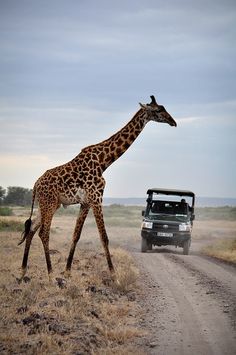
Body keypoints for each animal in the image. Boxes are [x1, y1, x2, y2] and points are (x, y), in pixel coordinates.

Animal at [18, 96, 177, 280]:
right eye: (158, 110)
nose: (173, 122)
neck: (104, 161)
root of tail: (35, 185)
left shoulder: (86, 202)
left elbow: (76, 235)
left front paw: (68, 271)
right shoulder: (96, 198)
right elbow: (104, 237)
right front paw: (114, 274)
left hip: (47, 204)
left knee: (31, 229)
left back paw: (23, 271)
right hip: (49, 204)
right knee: (43, 233)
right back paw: (50, 274)